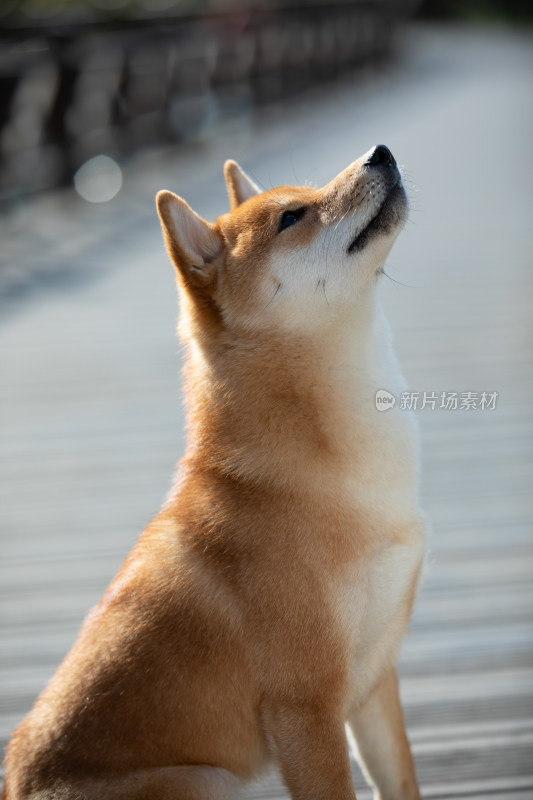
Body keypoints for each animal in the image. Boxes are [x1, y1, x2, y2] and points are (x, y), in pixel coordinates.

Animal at [3, 145, 428, 800]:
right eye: (291, 217)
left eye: (306, 195)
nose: (378, 152)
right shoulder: (304, 708)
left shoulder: (374, 682)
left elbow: (401, 782)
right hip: (208, 779)